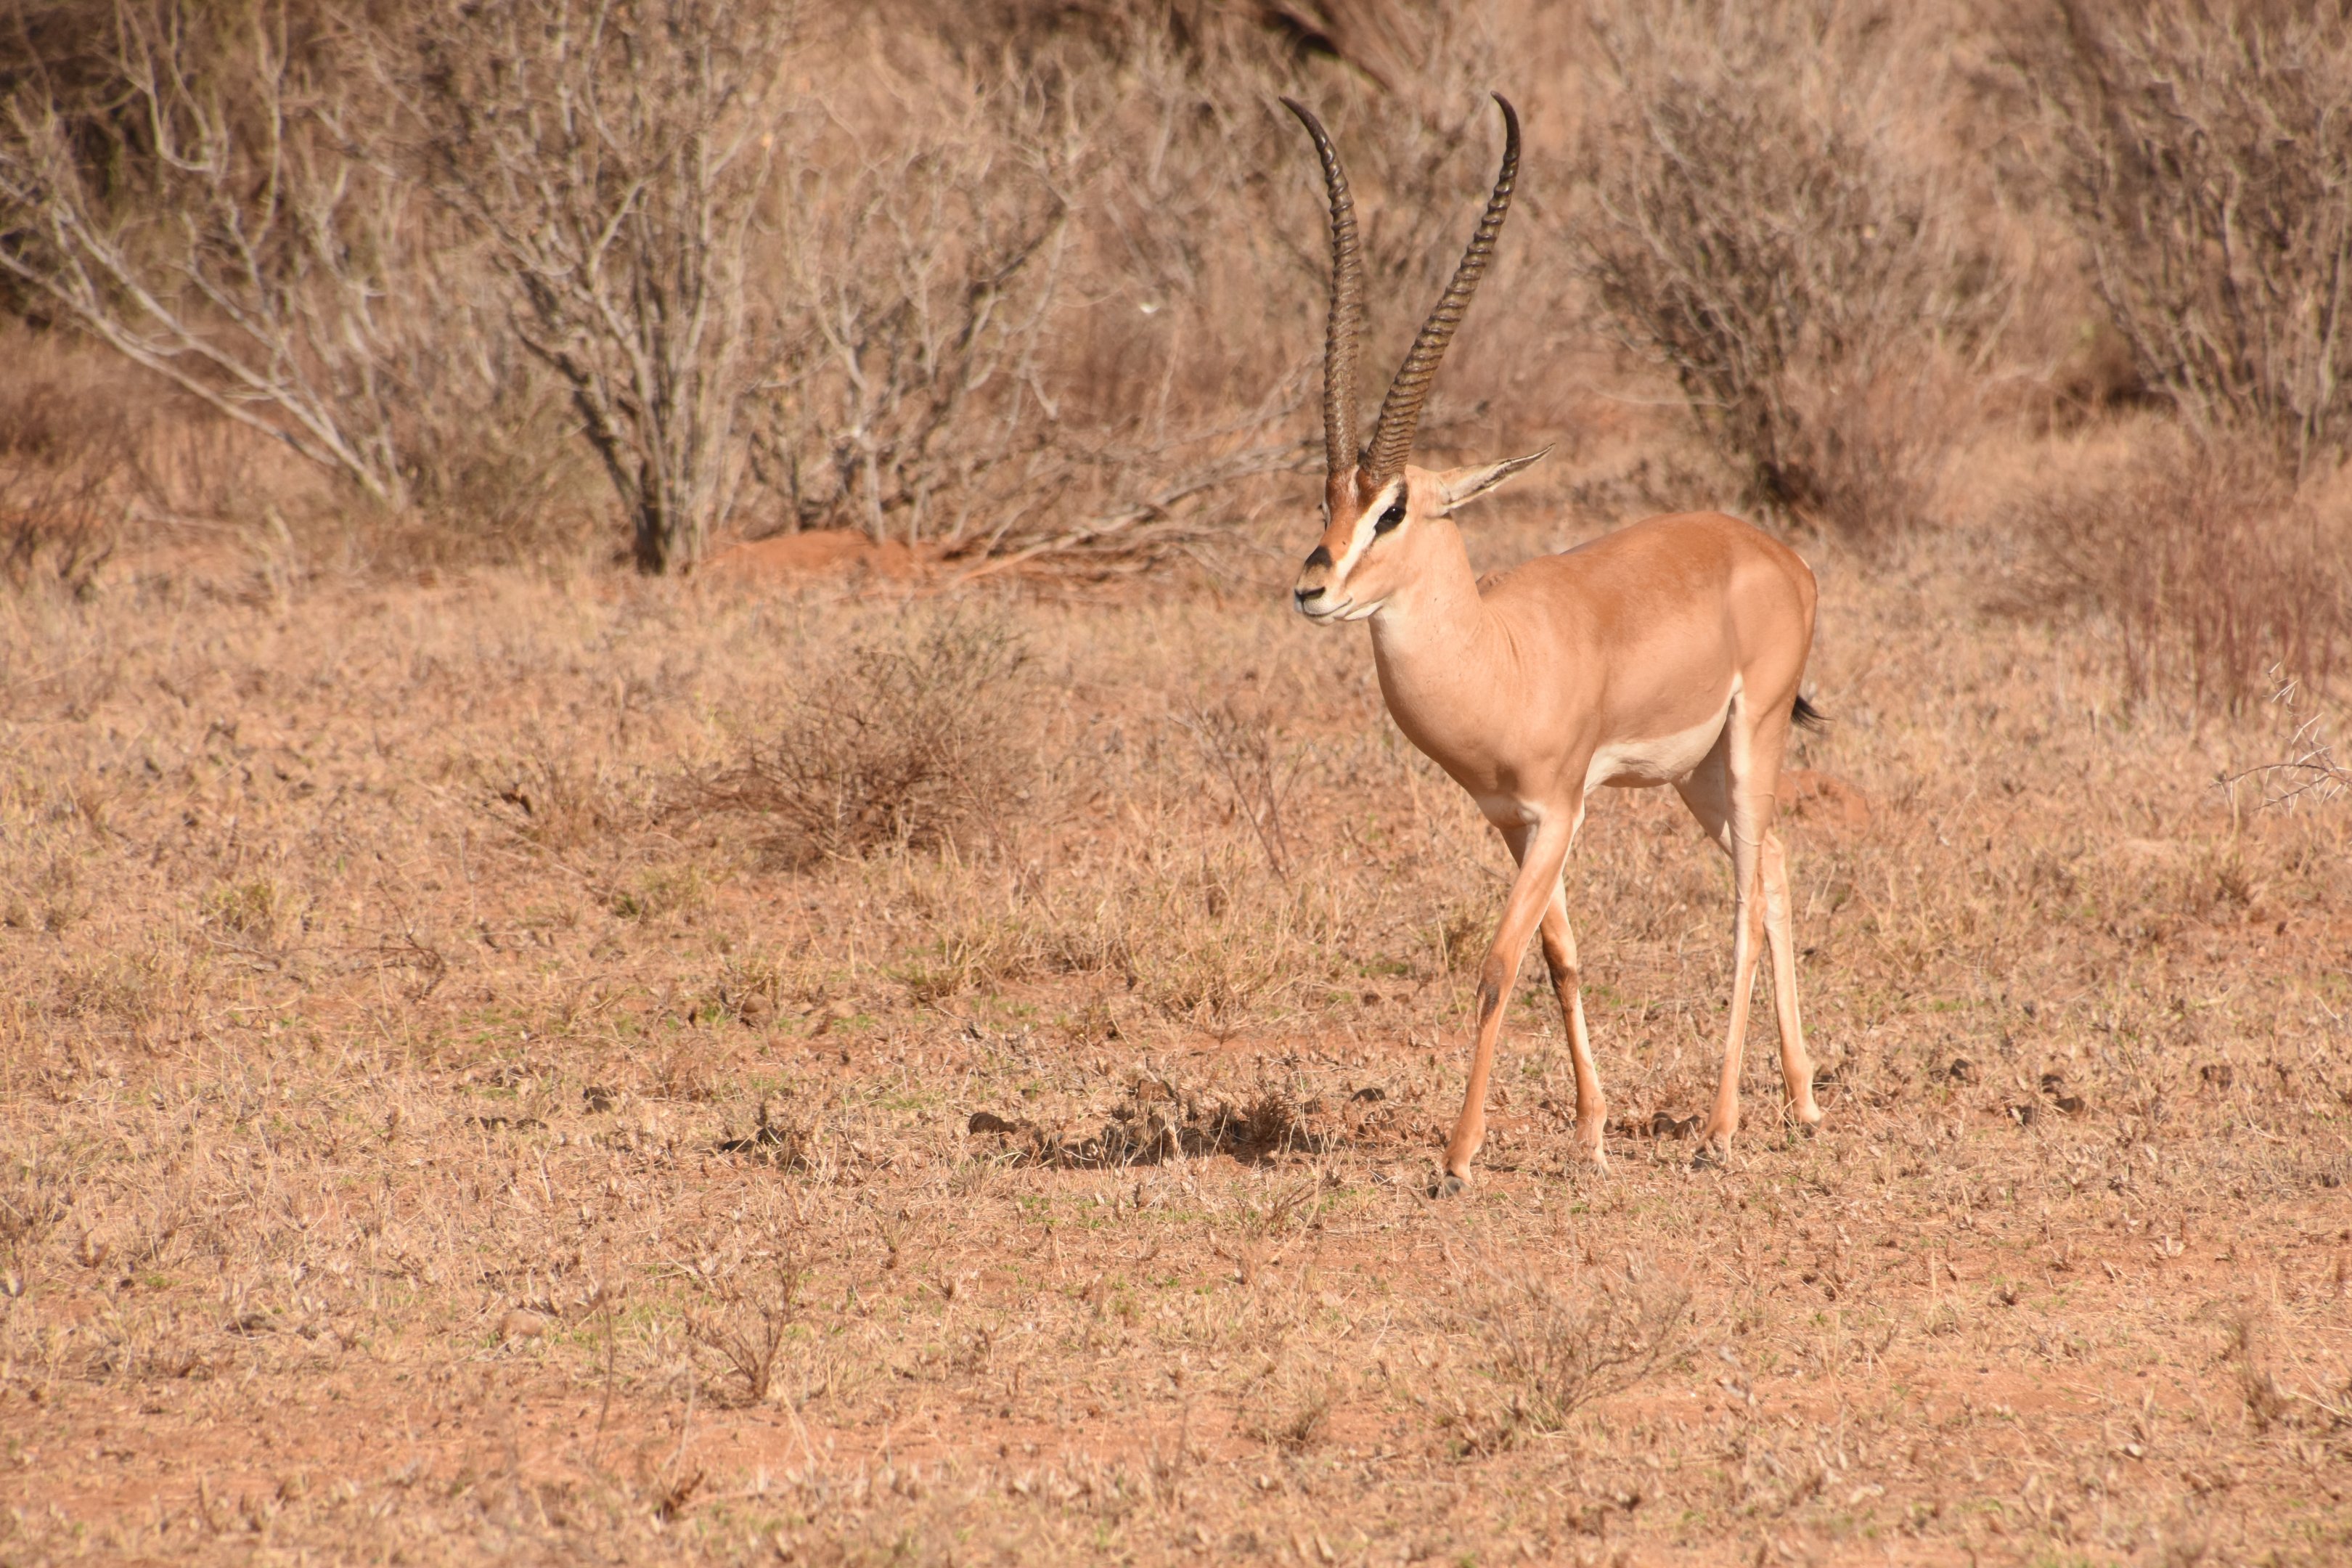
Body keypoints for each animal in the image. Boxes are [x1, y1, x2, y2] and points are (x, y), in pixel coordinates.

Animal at [1281, 94, 1824, 1190]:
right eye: (1329, 500)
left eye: (1394, 508)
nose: (1312, 588)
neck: (1500, 656)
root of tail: (1778, 556)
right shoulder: (1510, 820)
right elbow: (1559, 958)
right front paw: (1590, 1132)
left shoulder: (1560, 810)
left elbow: (1497, 963)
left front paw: (1458, 1156)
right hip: (1700, 775)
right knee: (1779, 870)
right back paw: (1800, 1103)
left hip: (1753, 742)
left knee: (1744, 907)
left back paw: (1720, 1131)